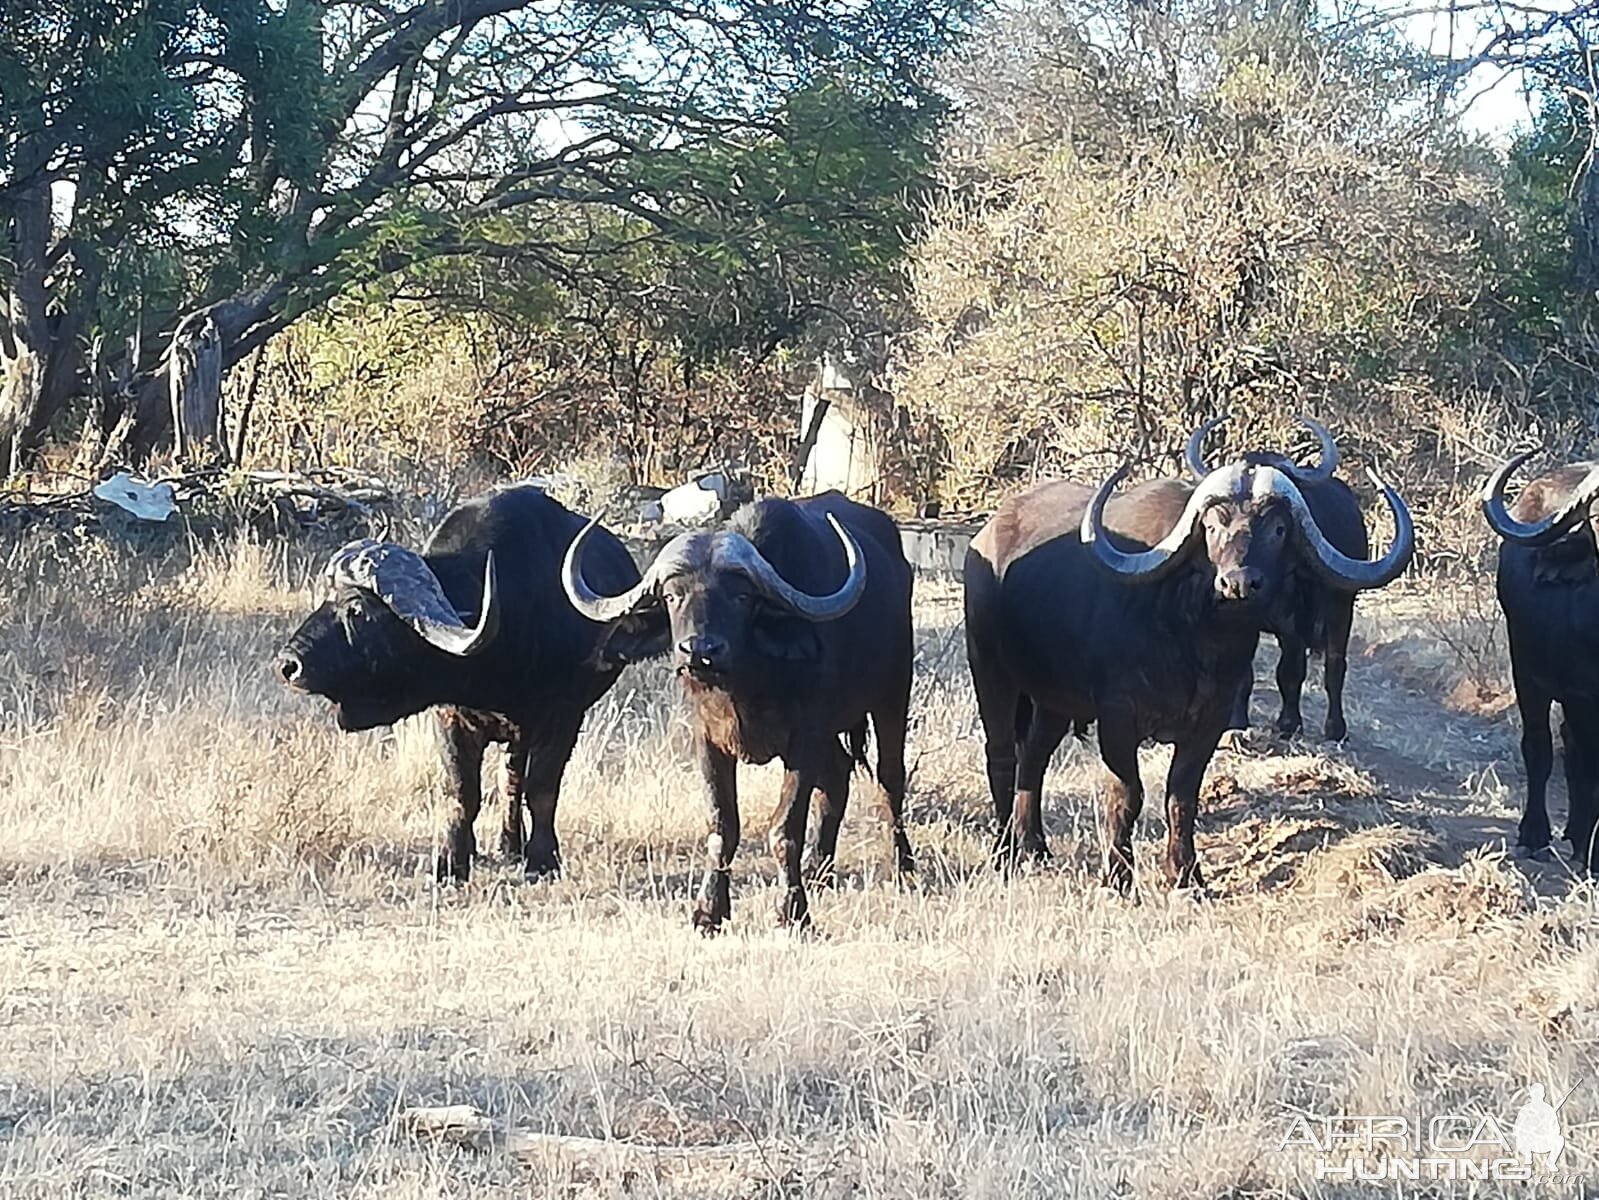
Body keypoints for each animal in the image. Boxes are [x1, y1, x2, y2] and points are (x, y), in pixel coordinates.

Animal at [278, 483, 639, 889]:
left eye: (357, 610)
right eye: (327, 598)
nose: (290, 664)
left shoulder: (563, 718)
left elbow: (542, 790)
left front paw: (543, 860)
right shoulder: (450, 718)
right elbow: (463, 793)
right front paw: (452, 863)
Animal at [562, 492, 914, 934]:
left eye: (741, 596)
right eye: (672, 596)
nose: (699, 650)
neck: (746, 685)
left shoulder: (805, 739)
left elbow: (784, 828)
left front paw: (792, 912)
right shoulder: (709, 740)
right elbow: (722, 825)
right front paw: (708, 910)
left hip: (892, 697)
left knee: (889, 781)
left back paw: (904, 867)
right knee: (838, 777)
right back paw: (819, 869)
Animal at [959, 454, 1413, 889]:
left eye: (1279, 529)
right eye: (1211, 527)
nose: (1238, 583)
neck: (1193, 642)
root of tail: (988, 534)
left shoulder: (1211, 719)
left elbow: (1182, 796)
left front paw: (1185, 875)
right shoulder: (1117, 717)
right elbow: (1127, 794)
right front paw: (1119, 878)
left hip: (1053, 701)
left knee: (1034, 756)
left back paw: (1034, 845)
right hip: (991, 672)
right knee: (1002, 755)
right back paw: (1005, 851)